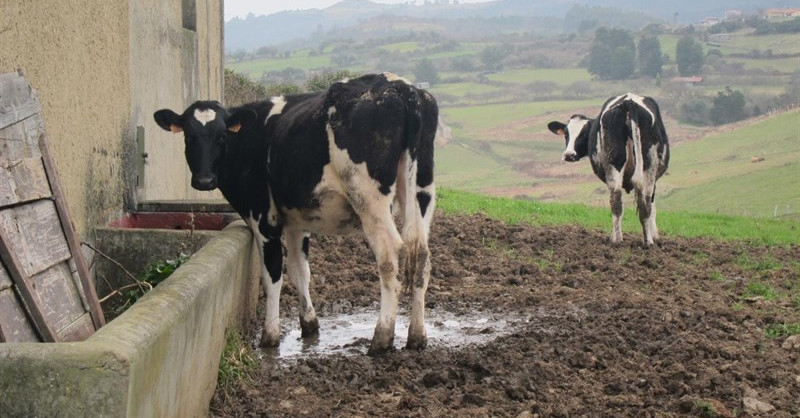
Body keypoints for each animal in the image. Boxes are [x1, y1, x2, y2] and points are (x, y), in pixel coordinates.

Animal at [153, 73, 438, 354]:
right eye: (189, 136)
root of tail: (400, 87)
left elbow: (272, 275)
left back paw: (381, 338)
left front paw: (269, 336)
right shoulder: (296, 222)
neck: (249, 139)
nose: (204, 180)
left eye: (222, 136)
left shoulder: (263, 217)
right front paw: (309, 324)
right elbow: (301, 271)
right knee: (422, 256)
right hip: (421, 192)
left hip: (369, 198)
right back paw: (417, 336)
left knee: (390, 255)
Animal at [547, 93, 670, 246]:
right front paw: (655, 235)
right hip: (641, 166)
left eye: (583, 133)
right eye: (566, 133)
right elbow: (652, 205)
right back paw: (631, 240)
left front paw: (654, 235)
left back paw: (637, 240)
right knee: (634, 200)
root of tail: (628, 102)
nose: (569, 154)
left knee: (624, 200)